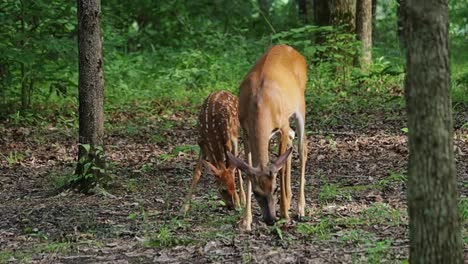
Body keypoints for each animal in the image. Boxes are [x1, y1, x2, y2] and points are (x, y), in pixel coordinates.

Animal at [227, 44, 308, 230]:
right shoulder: (245, 131)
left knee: (302, 148)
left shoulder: (282, 126)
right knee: (292, 141)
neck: (261, 105)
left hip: (300, 104)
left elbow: (281, 166)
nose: (271, 219)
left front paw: (285, 213)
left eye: (275, 189)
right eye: (257, 193)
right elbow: (249, 168)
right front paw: (246, 221)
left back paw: (300, 209)